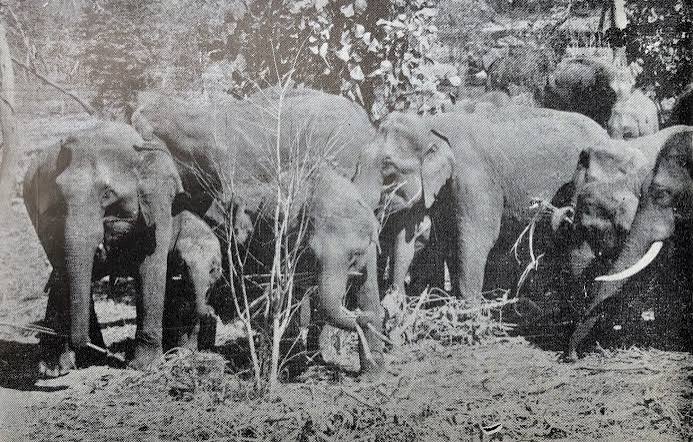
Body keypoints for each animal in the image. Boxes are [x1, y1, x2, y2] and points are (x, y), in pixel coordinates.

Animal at [23, 121, 187, 376]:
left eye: (107, 194)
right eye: (59, 198)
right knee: (63, 272)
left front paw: (144, 365)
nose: (113, 356)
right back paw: (61, 365)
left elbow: (151, 267)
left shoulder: (159, 202)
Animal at [374, 107, 611, 304]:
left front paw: (467, 312)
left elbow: (477, 238)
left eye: (387, 169)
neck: (430, 124)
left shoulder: (475, 177)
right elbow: (428, 237)